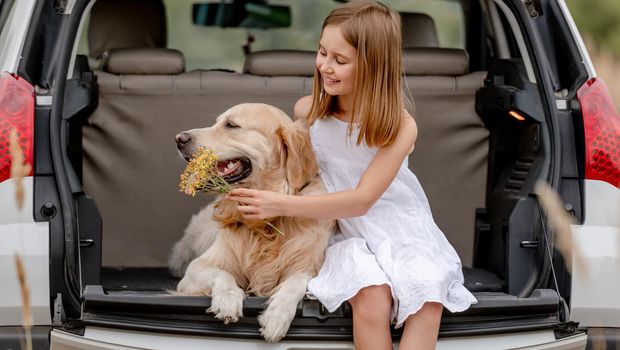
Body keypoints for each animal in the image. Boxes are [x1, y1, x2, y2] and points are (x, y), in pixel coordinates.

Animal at [168, 103, 334, 342]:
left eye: (231, 125)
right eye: (217, 122)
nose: (179, 138)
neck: (266, 224)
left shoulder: (310, 266)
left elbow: (296, 282)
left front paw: (277, 316)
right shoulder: (196, 269)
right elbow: (223, 273)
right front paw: (227, 299)